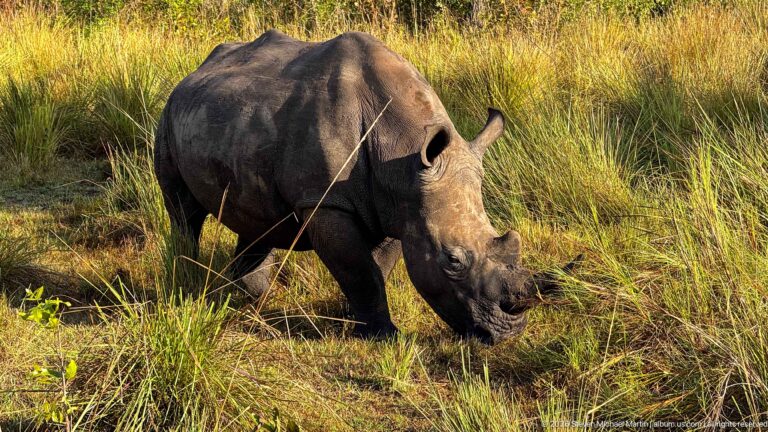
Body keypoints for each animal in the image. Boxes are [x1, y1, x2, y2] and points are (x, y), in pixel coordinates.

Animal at [154, 30, 575, 344]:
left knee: (258, 217)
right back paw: (187, 282)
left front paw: (355, 320)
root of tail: (196, 69)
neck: (403, 152)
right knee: (183, 211)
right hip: (169, 114)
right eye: (452, 261)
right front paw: (386, 335)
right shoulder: (327, 201)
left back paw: (247, 298)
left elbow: (376, 267)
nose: (506, 334)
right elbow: (358, 269)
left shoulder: (401, 202)